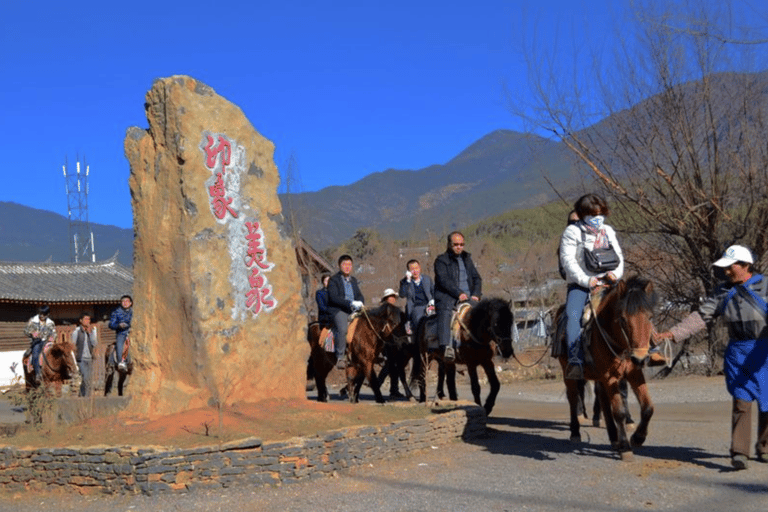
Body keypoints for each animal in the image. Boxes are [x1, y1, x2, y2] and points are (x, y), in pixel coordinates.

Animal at [556, 276, 656, 460]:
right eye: (622, 319)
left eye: (650, 317)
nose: (640, 358)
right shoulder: (610, 376)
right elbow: (619, 412)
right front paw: (626, 447)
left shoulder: (633, 373)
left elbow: (647, 408)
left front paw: (637, 438)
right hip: (569, 372)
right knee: (573, 398)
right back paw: (576, 432)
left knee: (602, 399)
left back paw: (613, 438)